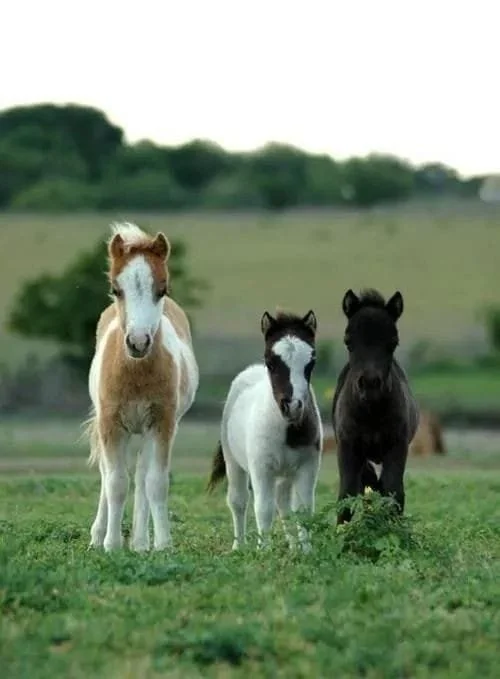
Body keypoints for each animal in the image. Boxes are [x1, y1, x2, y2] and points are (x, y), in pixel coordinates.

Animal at [85, 222, 199, 552]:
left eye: (162, 289)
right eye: (116, 289)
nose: (138, 343)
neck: (135, 375)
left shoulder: (162, 423)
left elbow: (155, 483)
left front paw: (162, 545)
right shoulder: (110, 423)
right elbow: (114, 482)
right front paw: (111, 545)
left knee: (142, 475)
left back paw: (139, 542)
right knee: (108, 475)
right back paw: (98, 536)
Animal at [207, 309, 323, 552]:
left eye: (311, 361)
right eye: (270, 361)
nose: (293, 406)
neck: (287, 430)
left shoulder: (307, 467)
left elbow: (303, 510)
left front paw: (306, 552)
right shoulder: (262, 467)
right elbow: (263, 507)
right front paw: (264, 550)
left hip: (285, 474)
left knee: (284, 505)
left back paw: (292, 547)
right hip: (234, 462)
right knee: (238, 501)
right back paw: (239, 546)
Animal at [331, 288, 419, 525]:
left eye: (393, 342)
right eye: (348, 341)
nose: (370, 384)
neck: (371, 413)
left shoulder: (397, 445)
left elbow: (394, 490)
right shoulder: (348, 446)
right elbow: (347, 493)